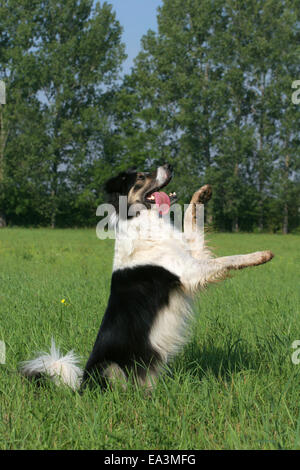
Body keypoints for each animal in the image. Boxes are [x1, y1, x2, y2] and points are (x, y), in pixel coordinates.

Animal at [20, 163, 274, 392]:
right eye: (141, 176)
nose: (169, 165)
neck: (140, 220)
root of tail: (81, 387)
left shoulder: (192, 254)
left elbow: (191, 221)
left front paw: (201, 194)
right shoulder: (189, 271)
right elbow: (228, 259)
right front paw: (261, 255)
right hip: (110, 367)